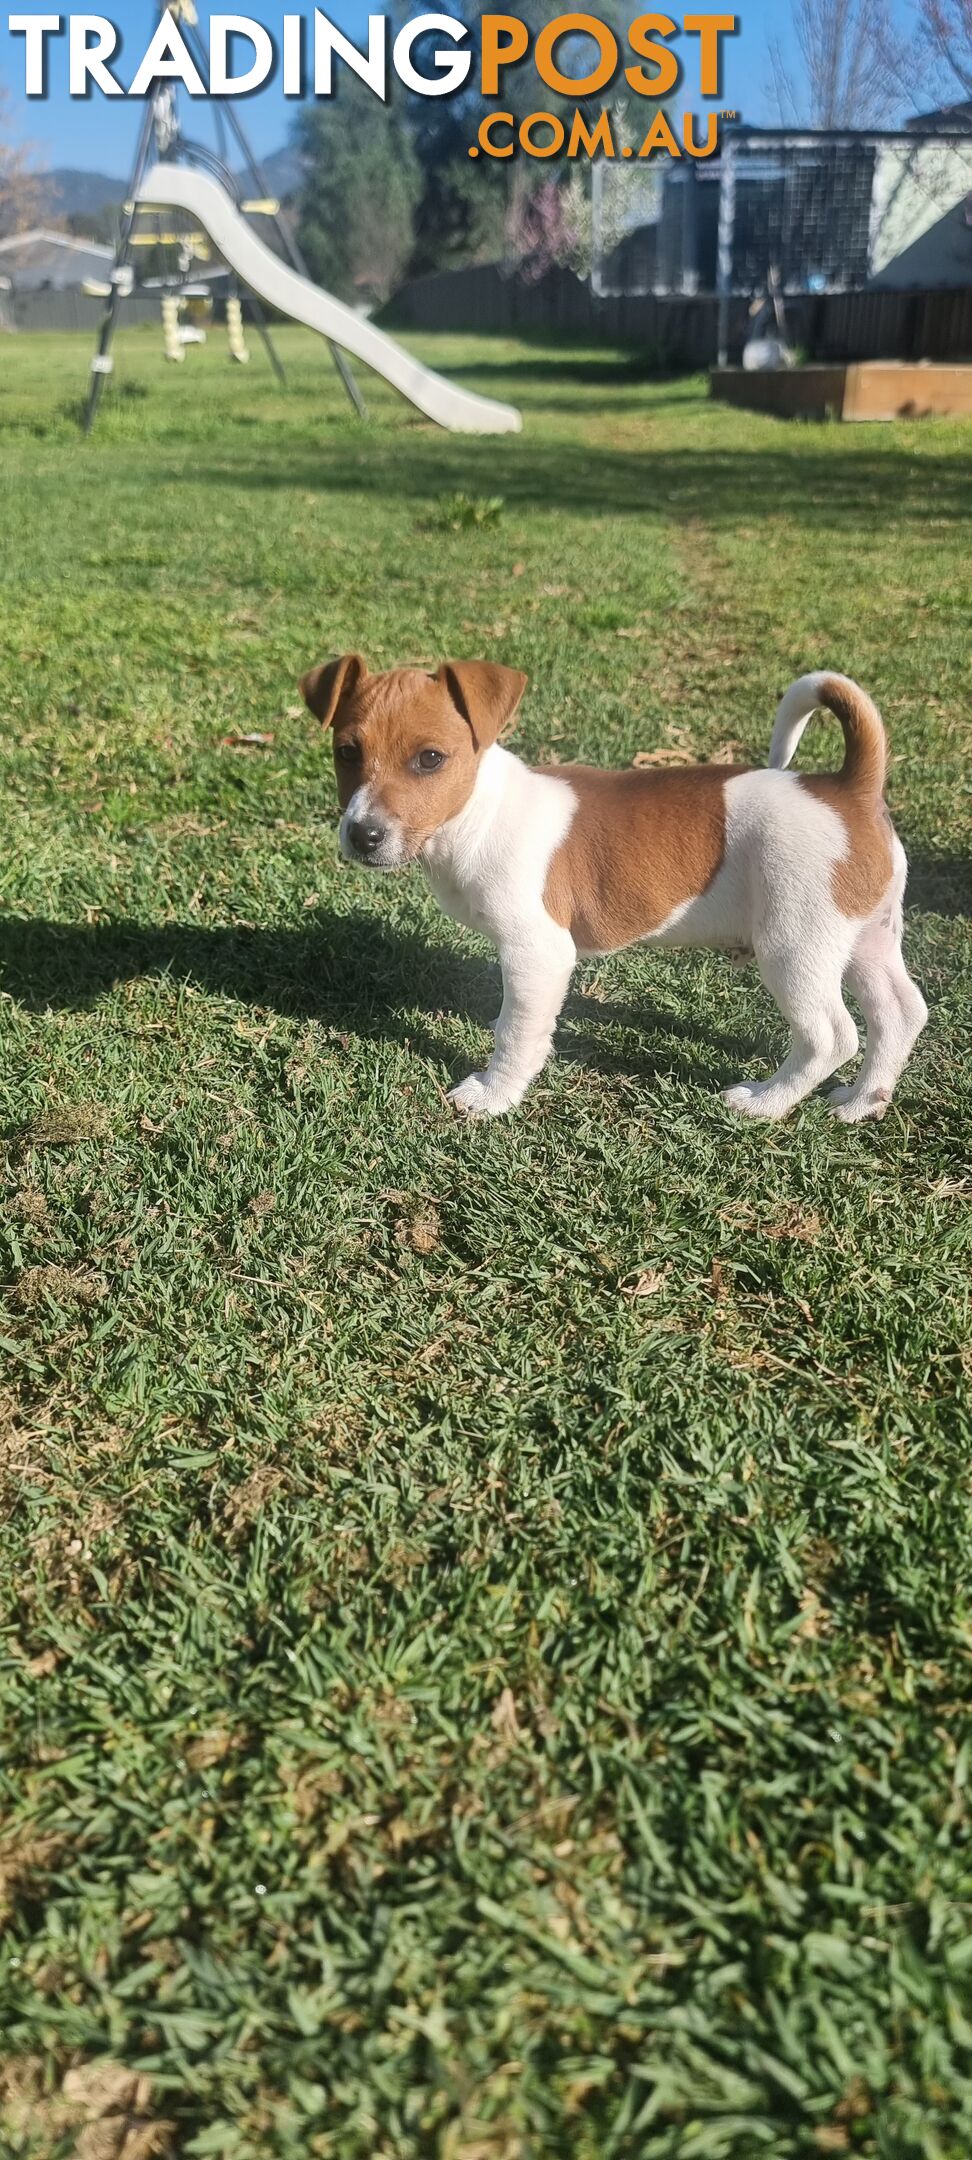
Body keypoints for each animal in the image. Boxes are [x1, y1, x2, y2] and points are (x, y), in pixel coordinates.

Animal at [298, 652, 924, 1131]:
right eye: (346, 753)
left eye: (430, 759)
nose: (363, 835)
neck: (479, 812)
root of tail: (847, 788)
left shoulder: (538, 952)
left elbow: (516, 1032)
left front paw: (493, 1095)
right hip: (865, 938)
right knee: (900, 1014)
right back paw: (862, 1102)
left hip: (796, 944)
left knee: (831, 1037)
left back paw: (765, 1103)